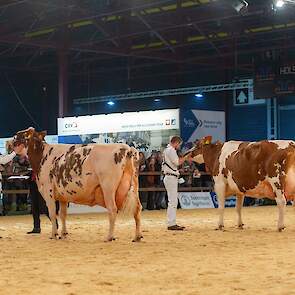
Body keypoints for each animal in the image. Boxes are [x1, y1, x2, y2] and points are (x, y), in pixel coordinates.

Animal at [13, 128, 143, 243]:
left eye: (21, 135)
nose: (11, 141)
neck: (42, 156)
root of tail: (127, 148)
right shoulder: (63, 196)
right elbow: (63, 214)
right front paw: (63, 234)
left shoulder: (48, 191)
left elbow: (52, 213)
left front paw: (54, 235)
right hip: (134, 186)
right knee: (137, 208)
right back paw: (137, 236)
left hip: (108, 188)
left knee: (112, 209)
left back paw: (109, 237)